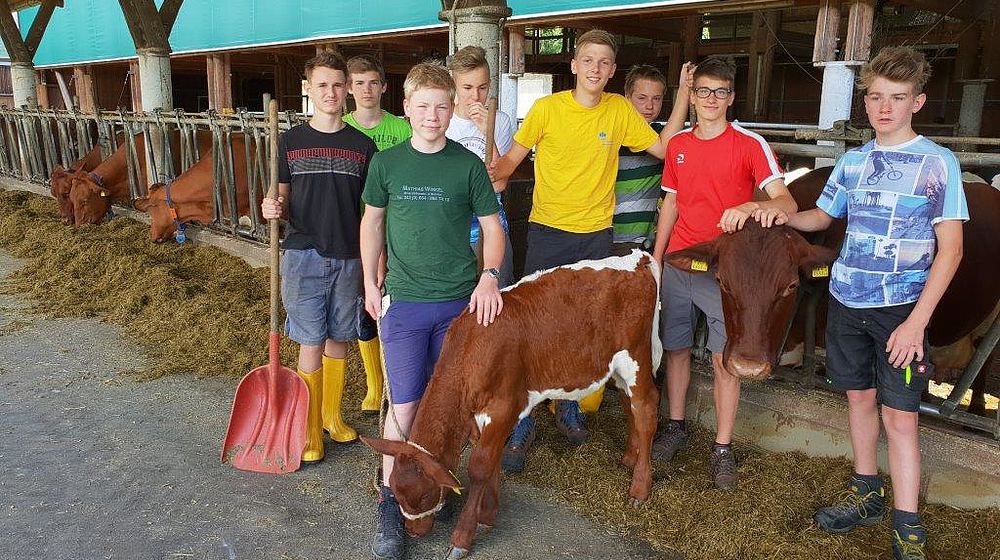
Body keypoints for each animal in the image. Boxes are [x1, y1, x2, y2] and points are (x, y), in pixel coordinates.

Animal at [364, 254, 660, 560]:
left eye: (424, 495)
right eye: (395, 490)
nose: (414, 531)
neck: (473, 349)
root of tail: (637, 259)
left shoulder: (503, 408)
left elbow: (480, 467)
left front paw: (463, 535)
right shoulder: (481, 417)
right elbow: (491, 461)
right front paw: (487, 514)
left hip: (637, 358)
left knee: (645, 408)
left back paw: (640, 488)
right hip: (617, 368)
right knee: (628, 404)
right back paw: (630, 457)